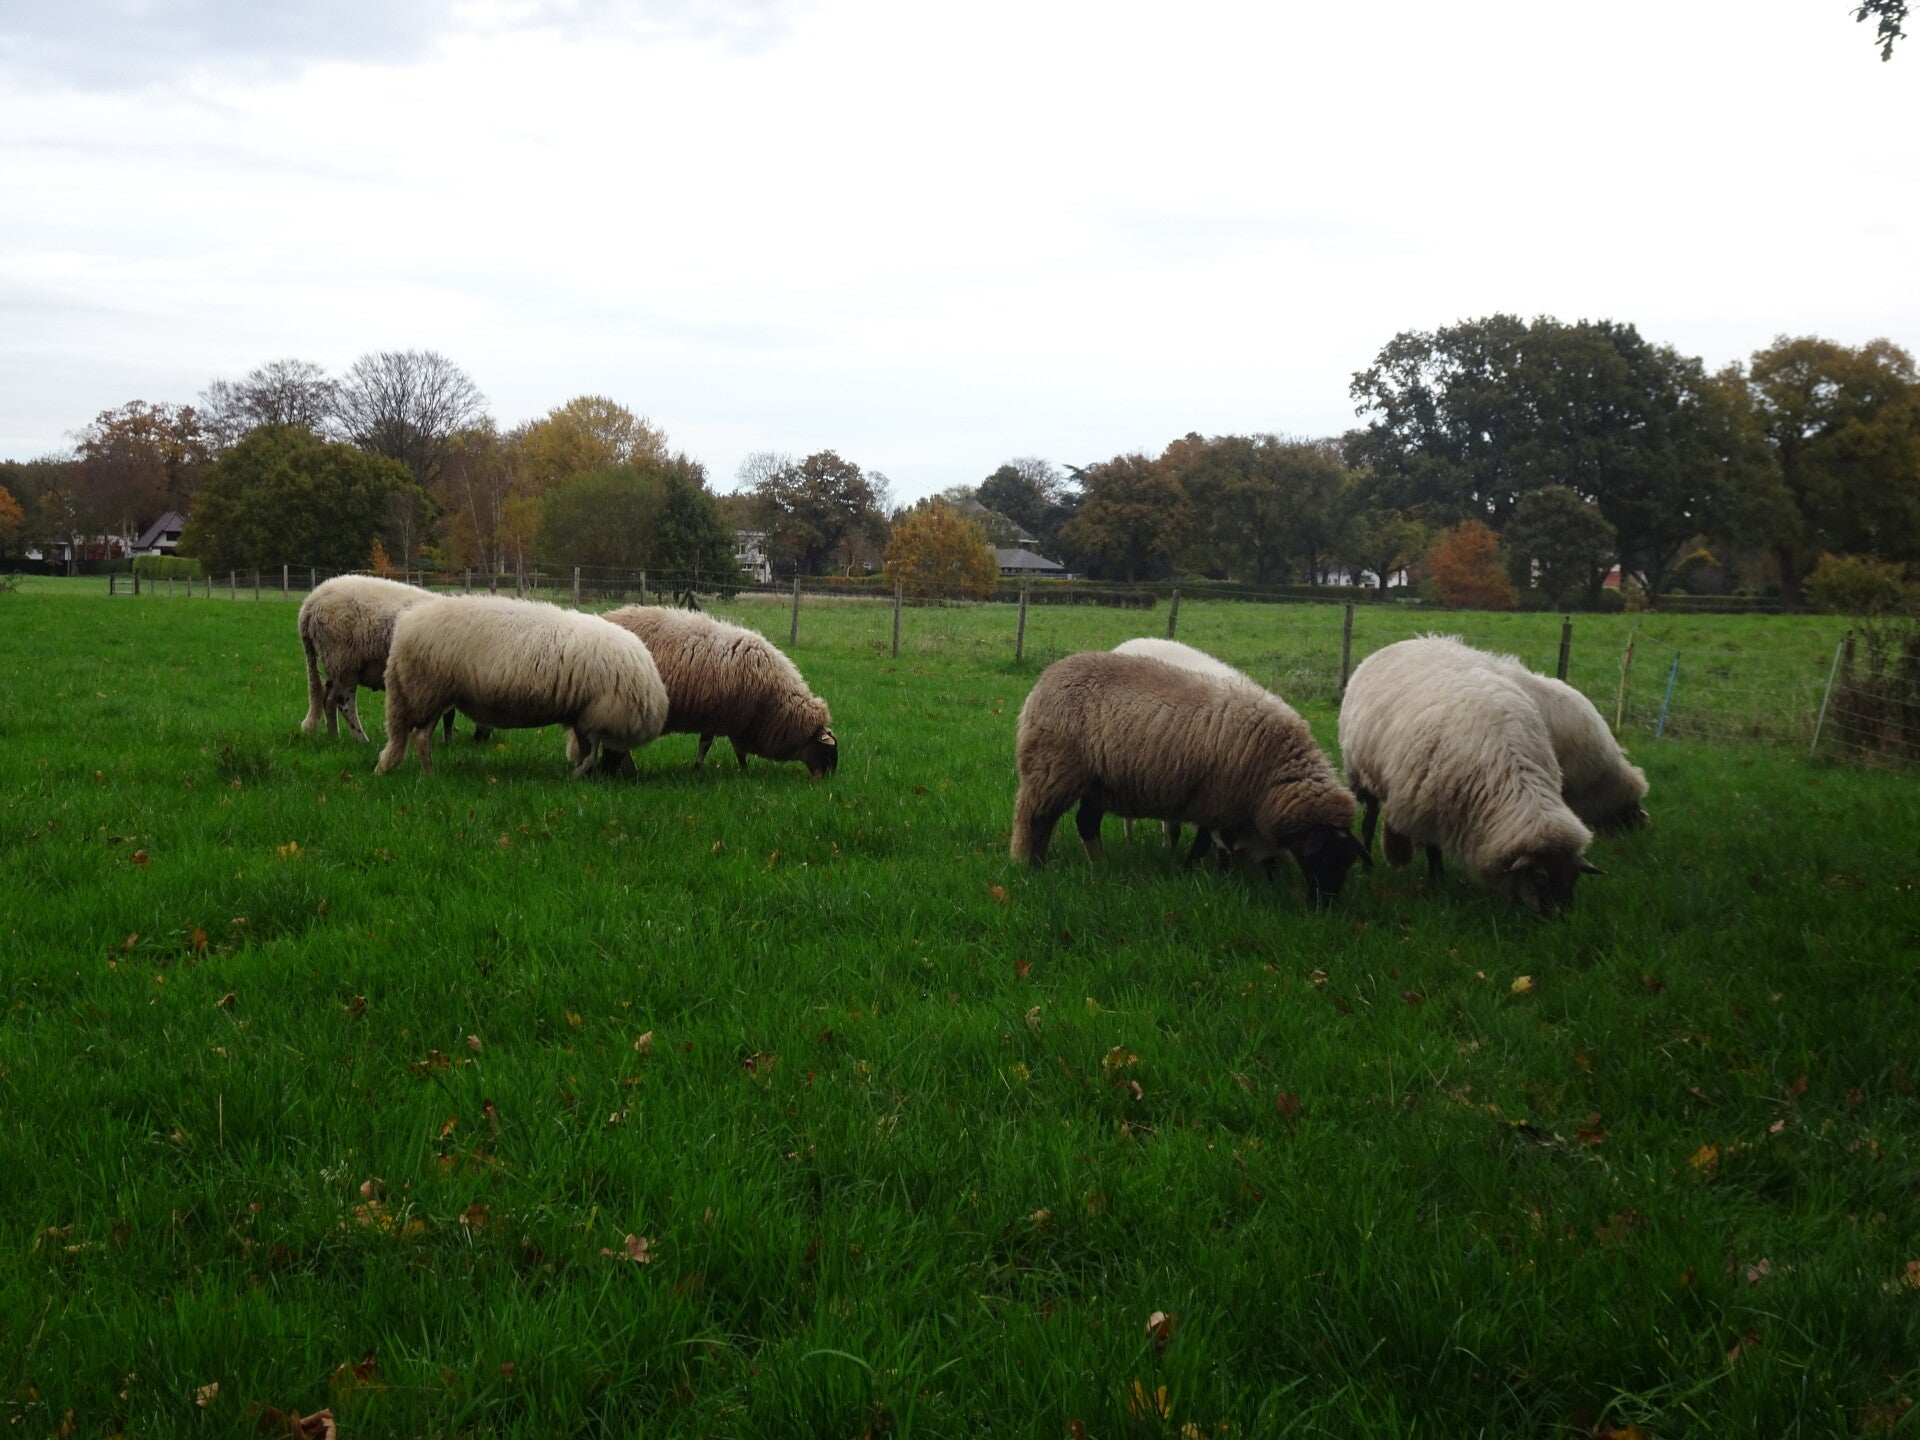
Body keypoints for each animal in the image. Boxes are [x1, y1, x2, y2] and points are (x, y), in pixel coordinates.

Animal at [298, 575, 435, 741]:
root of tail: (311, 600)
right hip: (343, 660)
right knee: (344, 703)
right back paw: (361, 739)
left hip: (336, 664)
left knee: (329, 699)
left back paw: (334, 736)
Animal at [375, 597, 667, 778]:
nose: (613, 776)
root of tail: (406, 624)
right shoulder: (596, 714)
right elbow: (589, 754)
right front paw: (577, 776)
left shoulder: (582, 714)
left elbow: (586, 751)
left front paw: (579, 775)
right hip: (428, 689)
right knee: (421, 737)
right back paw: (430, 774)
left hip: (428, 693)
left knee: (418, 735)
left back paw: (426, 772)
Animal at [599, 606, 838, 778]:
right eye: (828, 753)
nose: (827, 780)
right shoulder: (730, 717)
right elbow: (721, 748)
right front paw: (727, 771)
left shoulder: (721, 716)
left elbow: (716, 746)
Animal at [1011, 650, 1370, 902]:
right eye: (1321, 858)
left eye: (1347, 862)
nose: (1325, 905)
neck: (1277, 770)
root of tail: (1048, 676)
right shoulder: (1217, 801)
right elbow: (1210, 845)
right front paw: (1199, 873)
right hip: (1052, 767)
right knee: (1033, 817)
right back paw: (1028, 863)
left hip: (1098, 782)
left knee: (1084, 822)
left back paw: (1097, 864)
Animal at [1338, 637, 1599, 914]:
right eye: (1540, 876)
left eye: (1573, 877)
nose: (1558, 918)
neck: (1510, 770)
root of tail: (1406, 641)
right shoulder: (1429, 802)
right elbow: (1433, 850)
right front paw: (1437, 881)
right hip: (1364, 776)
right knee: (1368, 823)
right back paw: (1367, 865)